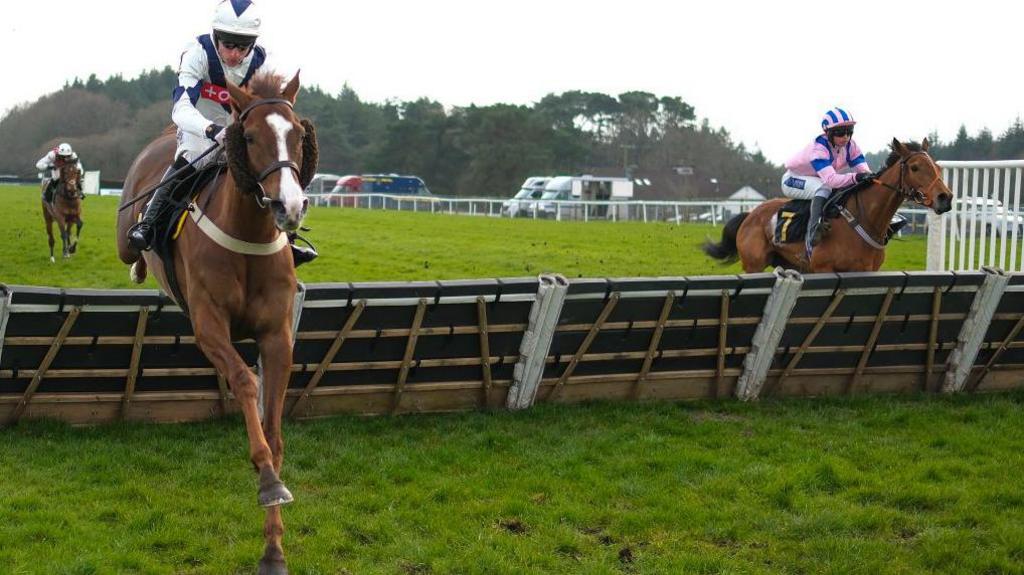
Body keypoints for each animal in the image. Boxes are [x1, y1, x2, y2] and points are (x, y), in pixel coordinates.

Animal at [115, 69, 317, 568]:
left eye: (298, 135)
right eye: (250, 135)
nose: (289, 207)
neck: (248, 237)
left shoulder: (277, 336)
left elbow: (274, 429)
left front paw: (274, 550)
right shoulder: (208, 327)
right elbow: (244, 381)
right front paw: (267, 482)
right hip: (126, 233)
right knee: (130, 249)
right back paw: (139, 261)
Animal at [704, 139, 950, 272]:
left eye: (937, 166)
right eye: (915, 167)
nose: (945, 197)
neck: (865, 220)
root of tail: (750, 214)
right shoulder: (823, 268)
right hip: (753, 265)